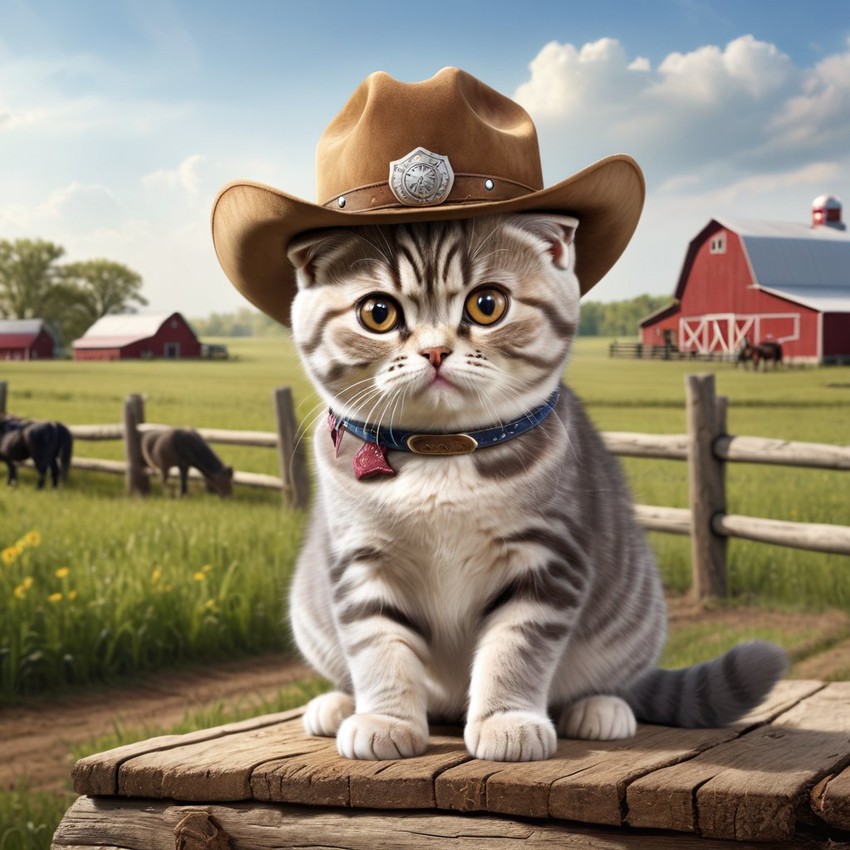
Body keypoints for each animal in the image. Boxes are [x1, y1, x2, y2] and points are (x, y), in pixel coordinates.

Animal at [286, 212, 788, 760]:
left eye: (487, 305)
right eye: (378, 312)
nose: (435, 350)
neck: (441, 452)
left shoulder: (547, 559)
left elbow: (514, 648)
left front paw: (506, 721)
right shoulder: (361, 560)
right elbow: (378, 647)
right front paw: (385, 719)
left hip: (635, 619)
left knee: (615, 681)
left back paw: (600, 709)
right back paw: (336, 705)